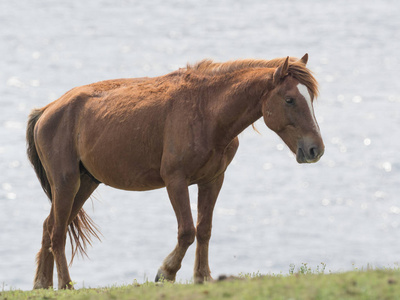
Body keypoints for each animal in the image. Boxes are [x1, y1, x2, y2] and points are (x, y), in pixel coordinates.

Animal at [26, 53, 324, 288]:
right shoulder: (175, 181)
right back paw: (65, 285)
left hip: (85, 183)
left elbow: (204, 229)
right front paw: (166, 272)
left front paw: (202, 277)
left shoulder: (213, 180)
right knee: (57, 233)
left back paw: (42, 284)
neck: (206, 111)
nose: (315, 150)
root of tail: (48, 110)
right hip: (66, 183)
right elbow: (187, 231)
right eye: (289, 99)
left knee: (49, 226)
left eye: (310, 98)